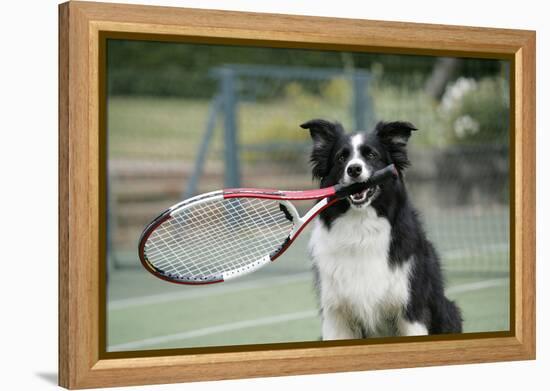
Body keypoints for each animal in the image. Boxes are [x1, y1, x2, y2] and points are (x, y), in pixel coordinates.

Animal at [300, 119, 464, 340]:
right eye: (341, 157)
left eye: (371, 155)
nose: (354, 169)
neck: (361, 228)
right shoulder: (336, 315)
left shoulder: (411, 310)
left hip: (448, 311)